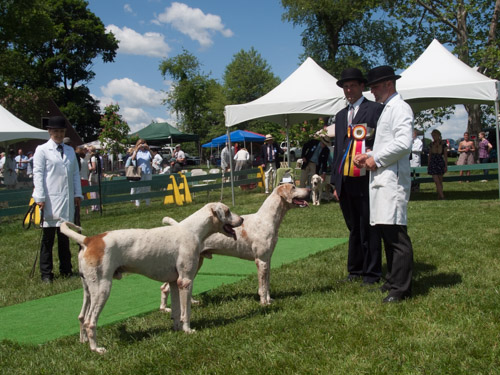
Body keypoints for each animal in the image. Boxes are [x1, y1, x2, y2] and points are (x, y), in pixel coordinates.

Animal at [59, 204, 243, 354]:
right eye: (228, 211)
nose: (241, 219)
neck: (192, 230)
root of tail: (88, 240)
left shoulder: (174, 283)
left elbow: (176, 311)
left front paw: (177, 329)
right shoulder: (185, 281)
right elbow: (186, 312)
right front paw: (188, 330)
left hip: (88, 290)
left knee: (82, 317)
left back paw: (83, 341)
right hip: (102, 290)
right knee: (90, 322)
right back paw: (96, 349)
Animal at [160, 182, 308, 308]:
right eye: (293, 187)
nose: (309, 189)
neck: (266, 219)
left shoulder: (267, 260)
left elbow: (267, 284)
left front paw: (269, 300)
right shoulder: (260, 260)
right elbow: (262, 287)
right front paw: (264, 303)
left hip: (196, 263)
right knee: (165, 287)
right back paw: (164, 309)